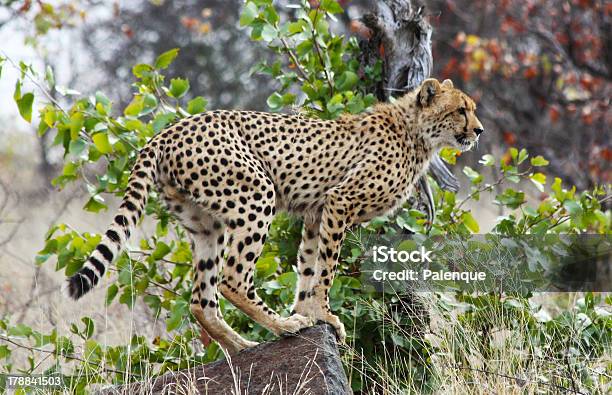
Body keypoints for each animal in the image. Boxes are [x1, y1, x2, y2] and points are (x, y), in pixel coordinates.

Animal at [67, 78, 486, 356]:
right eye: (460, 110)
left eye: (472, 109)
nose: (479, 131)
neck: (416, 132)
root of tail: (164, 133)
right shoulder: (339, 202)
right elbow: (326, 270)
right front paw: (319, 315)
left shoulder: (317, 213)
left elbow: (309, 268)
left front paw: (310, 313)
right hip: (257, 195)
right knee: (233, 279)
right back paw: (281, 326)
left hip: (206, 225)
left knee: (202, 299)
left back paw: (243, 345)